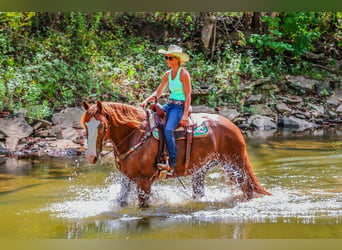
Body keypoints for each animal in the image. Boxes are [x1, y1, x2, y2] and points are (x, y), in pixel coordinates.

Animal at [80, 99, 270, 207]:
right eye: (85, 125)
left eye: (102, 126)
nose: (91, 157)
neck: (134, 135)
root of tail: (233, 126)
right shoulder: (126, 179)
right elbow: (121, 202)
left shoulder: (144, 182)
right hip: (201, 170)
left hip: (234, 165)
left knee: (248, 190)